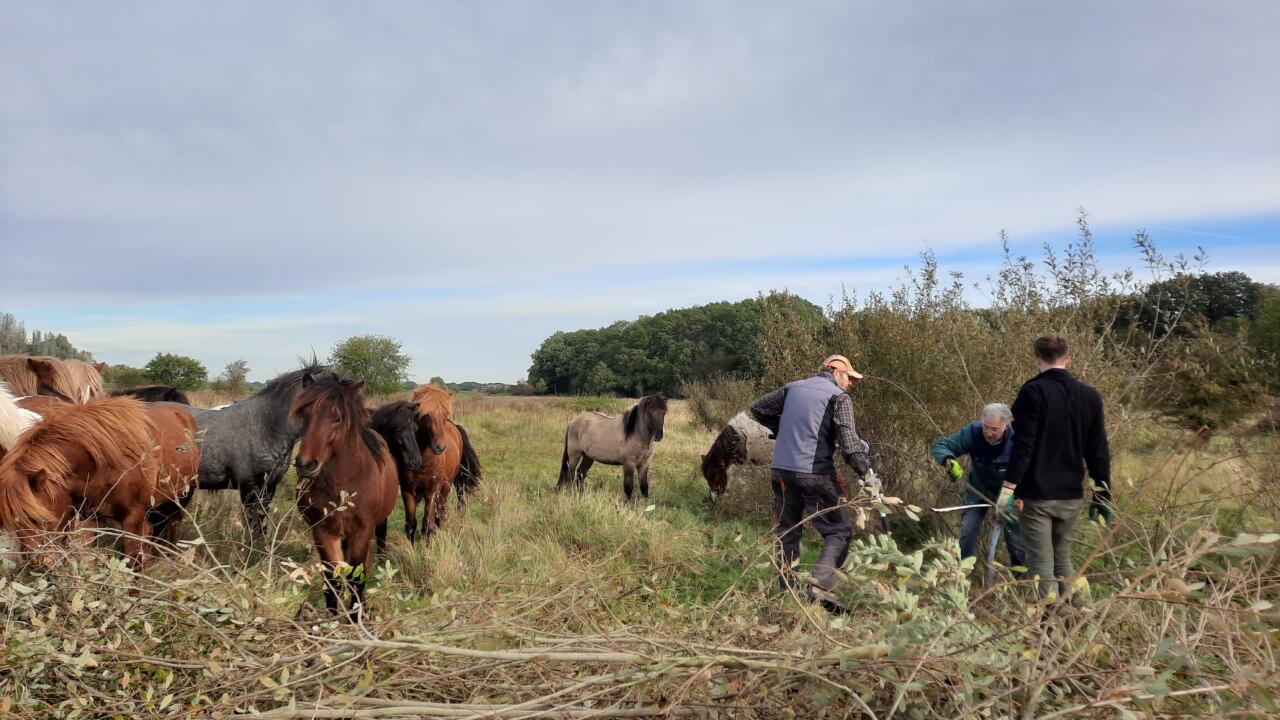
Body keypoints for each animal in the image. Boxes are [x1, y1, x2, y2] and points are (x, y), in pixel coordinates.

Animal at [0, 397, 200, 567]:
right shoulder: (89, 518)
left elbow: (132, 561)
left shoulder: (133, 519)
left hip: (180, 500)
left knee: (173, 526)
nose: (37, 562)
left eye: (36, 519)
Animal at [290, 374, 398, 621]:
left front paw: (357, 615)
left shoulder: (362, 530)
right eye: (305, 414)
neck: (344, 482)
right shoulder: (323, 531)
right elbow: (332, 578)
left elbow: (356, 576)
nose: (306, 465)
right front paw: (332, 618)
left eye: (337, 417)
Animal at [403, 385, 482, 543]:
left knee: (441, 510)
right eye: (426, 415)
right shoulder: (407, 491)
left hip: (446, 485)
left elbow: (427, 524)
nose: (440, 447)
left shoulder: (431, 491)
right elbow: (411, 525)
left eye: (445, 415)